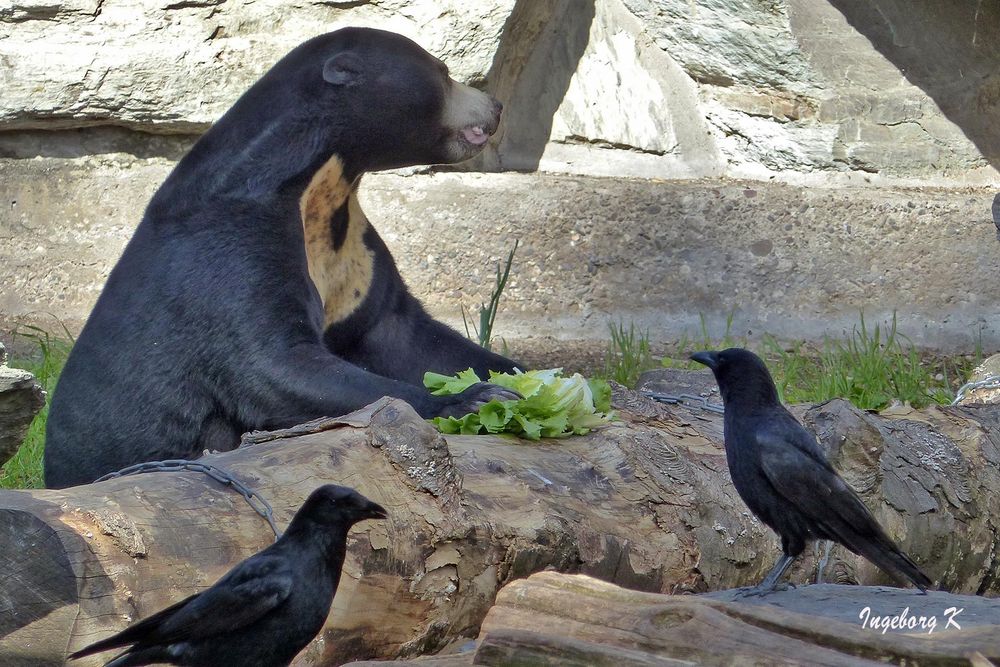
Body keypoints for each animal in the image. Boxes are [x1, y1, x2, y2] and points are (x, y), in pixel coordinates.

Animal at [43, 28, 520, 488]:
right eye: (443, 72)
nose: (496, 106)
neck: (321, 185)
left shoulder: (355, 255)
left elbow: (406, 335)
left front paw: (514, 378)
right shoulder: (230, 249)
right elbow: (273, 366)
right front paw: (472, 399)